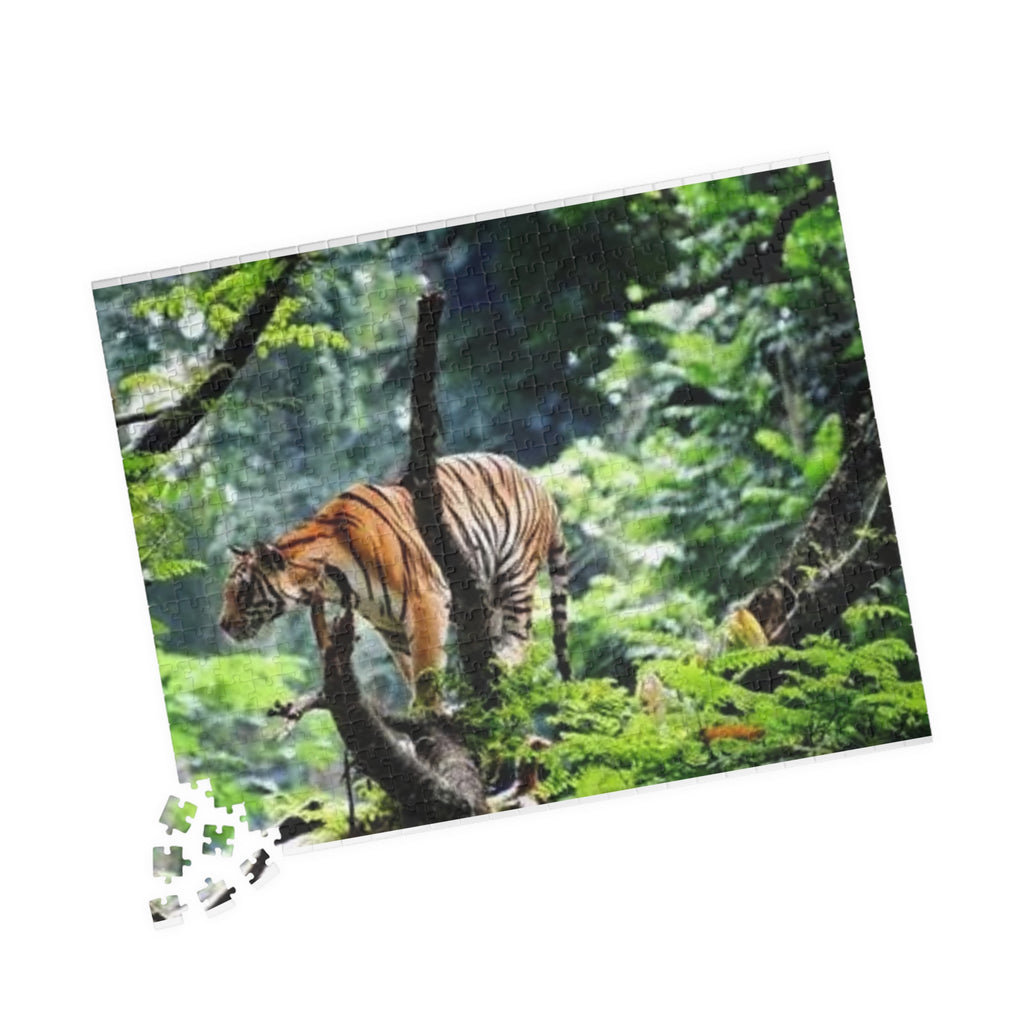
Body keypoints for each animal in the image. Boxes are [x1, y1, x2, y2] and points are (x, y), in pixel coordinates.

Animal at [219, 453, 571, 695]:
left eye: (242, 590)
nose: (222, 625)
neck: (331, 580)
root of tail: (540, 485)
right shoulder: (390, 625)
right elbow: (410, 671)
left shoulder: (424, 599)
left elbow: (425, 671)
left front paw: (428, 714)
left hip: (515, 570)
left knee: (522, 635)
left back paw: (504, 660)